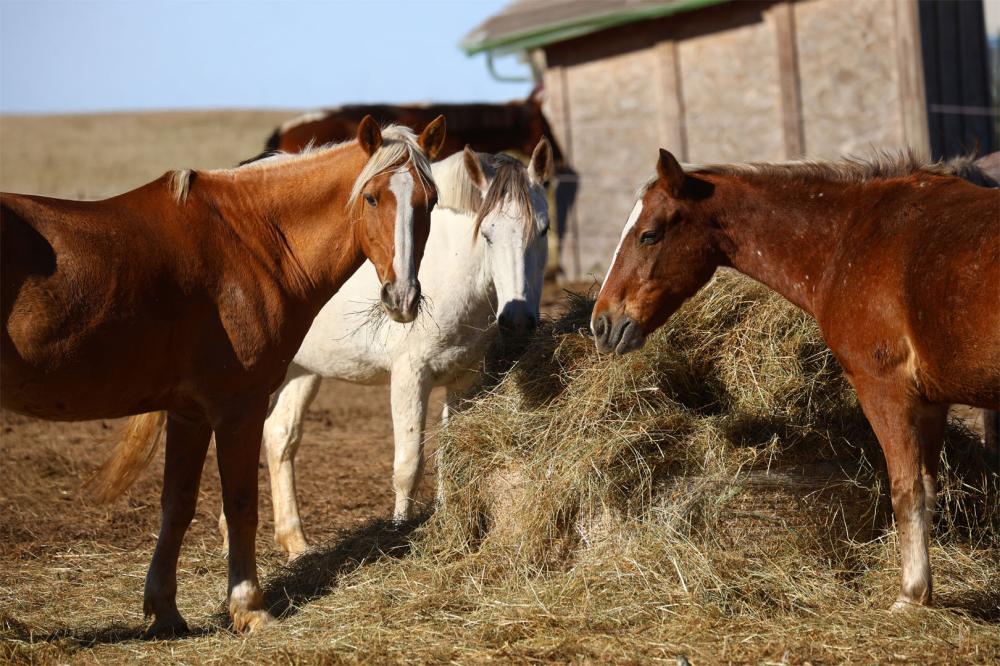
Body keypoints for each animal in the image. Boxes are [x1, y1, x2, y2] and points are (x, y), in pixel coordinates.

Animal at [0, 115, 447, 635]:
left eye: (430, 201)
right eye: (373, 197)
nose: (403, 297)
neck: (249, 241)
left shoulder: (189, 413)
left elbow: (177, 506)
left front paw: (165, 611)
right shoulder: (239, 408)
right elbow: (240, 506)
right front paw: (249, 606)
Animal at [217, 140, 553, 560]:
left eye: (544, 229)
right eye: (487, 234)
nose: (519, 320)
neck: (452, 264)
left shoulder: (464, 379)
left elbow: (449, 454)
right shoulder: (411, 376)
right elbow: (408, 464)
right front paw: (400, 535)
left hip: (300, 371)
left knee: (278, 436)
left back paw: (293, 543)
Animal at [591, 148, 999, 611]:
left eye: (649, 235)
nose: (602, 323)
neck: (851, 236)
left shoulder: (886, 391)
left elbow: (906, 492)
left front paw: (909, 597)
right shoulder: (931, 402)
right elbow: (927, 489)